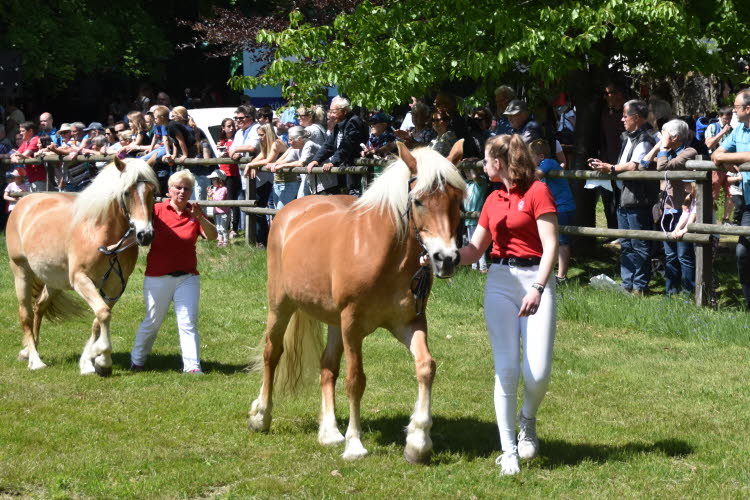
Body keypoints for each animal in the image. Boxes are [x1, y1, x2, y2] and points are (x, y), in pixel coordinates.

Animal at [5, 158, 159, 374]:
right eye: (127, 192)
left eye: (152, 191)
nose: (145, 235)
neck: (101, 233)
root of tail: (24, 202)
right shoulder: (81, 279)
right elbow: (103, 313)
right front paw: (103, 358)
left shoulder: (115, 286)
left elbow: (99, 318)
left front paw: (92, 360)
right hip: (21, 271)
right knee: (25, 314)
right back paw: (35, 360)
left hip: (54, 281)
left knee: (39, 307)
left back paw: (28, 350)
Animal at [250, 139, 468, 462]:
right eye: (418, 201)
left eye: (458, 200)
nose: (446, 259)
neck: (383, 254)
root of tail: (290, 210)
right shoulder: (352, 324)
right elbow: (355, 380)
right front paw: (355, 444)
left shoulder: (410, 323)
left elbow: (426, 366)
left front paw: (418, 442)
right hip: (281, 306)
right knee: (272, 354)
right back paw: (261, 416)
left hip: (333, 322)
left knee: (327, 367)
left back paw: (329, 432)